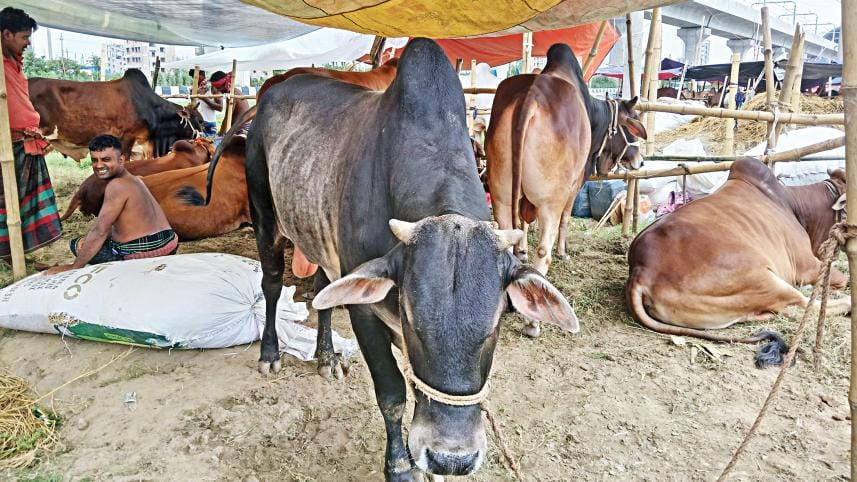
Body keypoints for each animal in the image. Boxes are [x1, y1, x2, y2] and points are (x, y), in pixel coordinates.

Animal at [244, 38, 578, 479]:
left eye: (495, 325)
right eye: (412, 320)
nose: (453, 459)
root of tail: (274, 91)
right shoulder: (365, 312)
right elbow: (392, 393)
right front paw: (400, 465)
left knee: (320, 290)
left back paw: (326, 357)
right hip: (265, 217)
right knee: (270, 283)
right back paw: (270, 354)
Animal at [627, 158, 849, 367]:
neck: (795, 206)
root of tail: (641, 270)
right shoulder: (807, 266)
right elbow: (842, 279)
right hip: (764, 278)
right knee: (803, 307)